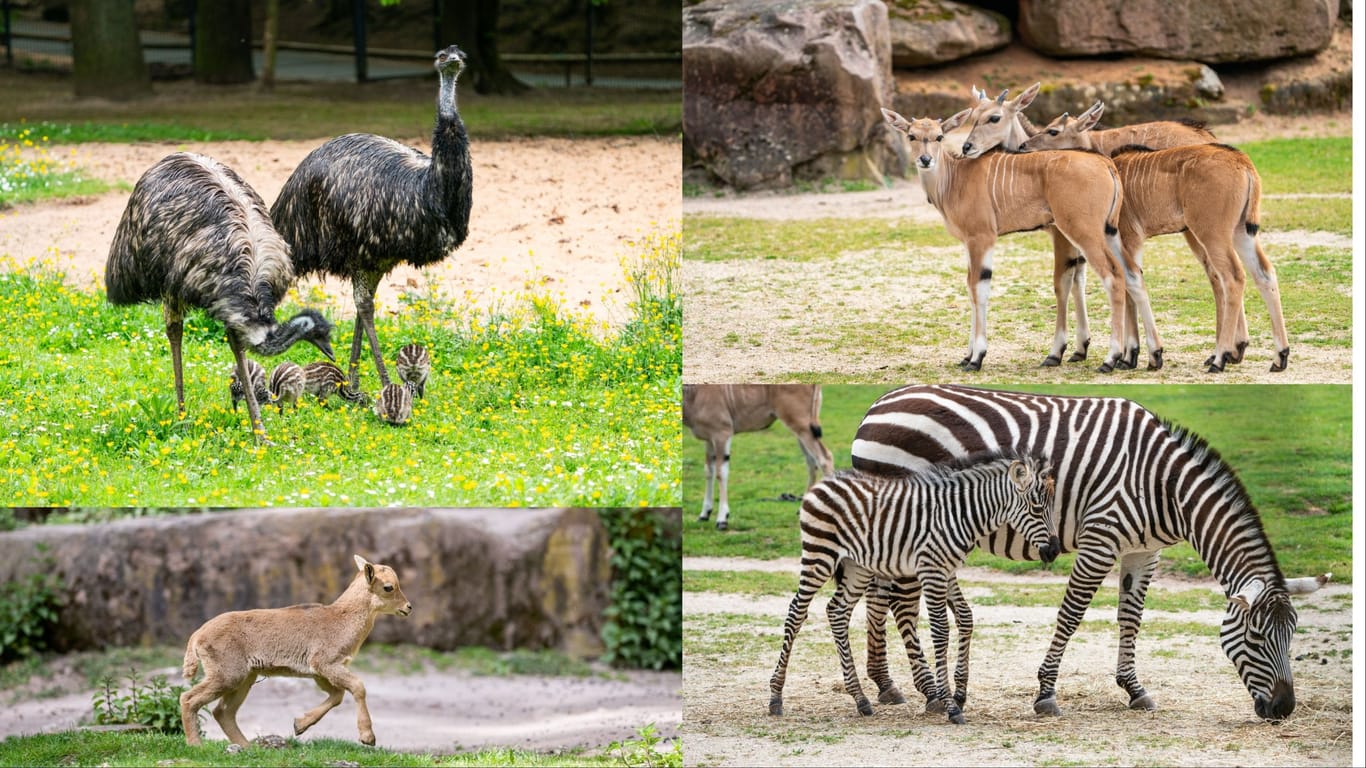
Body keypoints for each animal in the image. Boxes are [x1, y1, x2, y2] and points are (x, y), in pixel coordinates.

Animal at [764, 450, 1060, 721]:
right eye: (1037, 508)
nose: (1054, 551)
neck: (961, 516)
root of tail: (823, 483)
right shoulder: (932, 571)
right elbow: (940, 631)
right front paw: (950, 706)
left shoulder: (947, 571)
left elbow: (965, 618)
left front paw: (958, 694)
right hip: (819, 554)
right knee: (796, 613)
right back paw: (776, 697)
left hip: (856, 566)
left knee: (837, 612)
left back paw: (860, 699)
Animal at [852, 382, 1322, 716]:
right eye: (1257, 637)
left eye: (1293, 634)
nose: (1284, 709)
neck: (1165, 487)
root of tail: (879, 402)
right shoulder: (1100, 539)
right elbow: (1072, 614)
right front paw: (1046, 692)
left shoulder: (1144, 551)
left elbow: (1131, 617)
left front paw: (1134, 689)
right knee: (899, 603)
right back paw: (929, 693)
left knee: (880, 598)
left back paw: (887, 685)